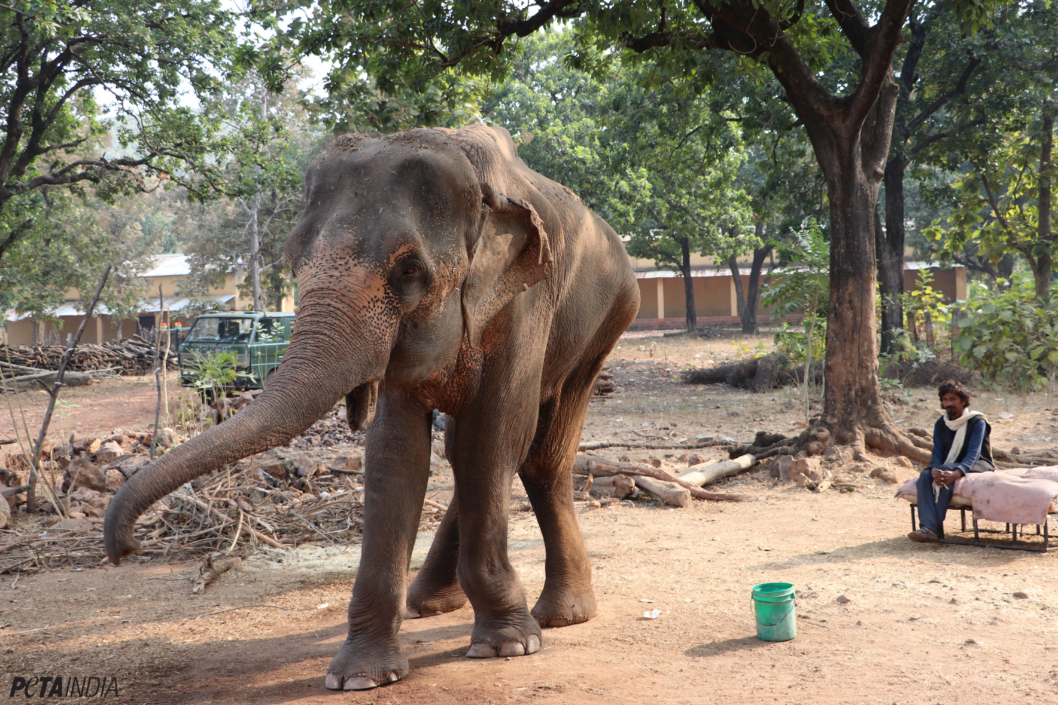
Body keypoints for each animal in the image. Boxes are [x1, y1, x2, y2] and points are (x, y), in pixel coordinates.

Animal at [105, 123, 634, 690]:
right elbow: (396, 455)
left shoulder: (522, 304)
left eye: (409, 269)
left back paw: (563, 615)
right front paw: (360, 675)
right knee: (471, 455)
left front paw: (509, 645)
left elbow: (492, 436)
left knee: (537, 453)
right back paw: (429, 603)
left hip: (607, 324)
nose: (124, 549)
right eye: (293, 259)